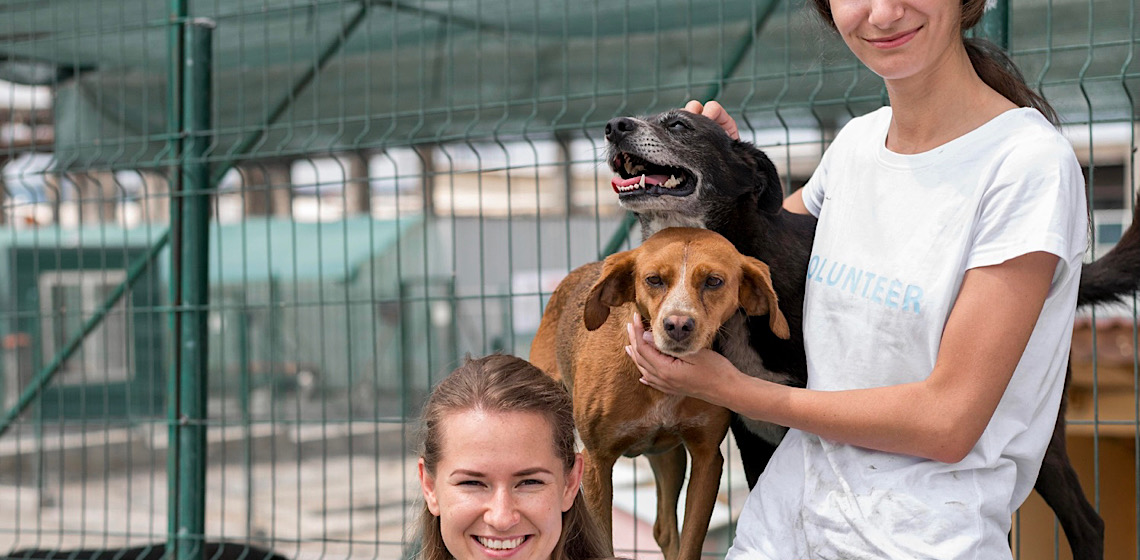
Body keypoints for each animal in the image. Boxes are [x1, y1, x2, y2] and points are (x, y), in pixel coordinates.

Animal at [528, 228, 788, 560]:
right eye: (653, 279)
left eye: (713, 281)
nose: (677, 325)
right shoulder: (596, 462)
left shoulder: (707, 458)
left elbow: (689, 542)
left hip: (669, 458)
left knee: (663, 529)